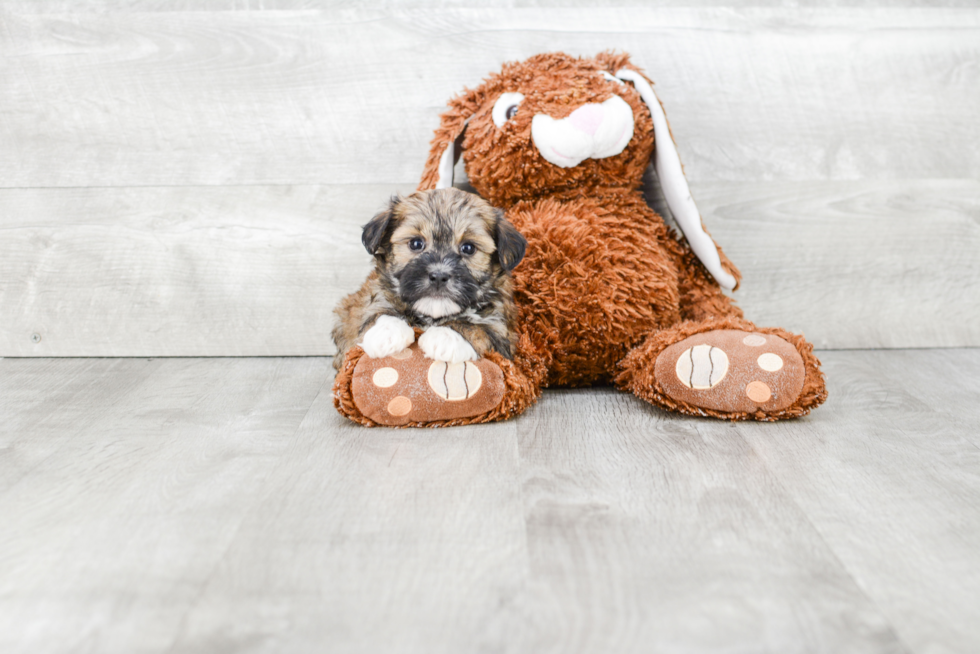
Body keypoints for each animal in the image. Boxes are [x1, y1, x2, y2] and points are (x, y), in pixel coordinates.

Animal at [332, 190, 528, 372]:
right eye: (416, 244)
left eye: (468, 248)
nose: (439, 276)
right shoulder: (370, 300)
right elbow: (377, 311)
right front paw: (386, 332)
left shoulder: (503, 331)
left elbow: (480, 328)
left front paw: (445, 336)